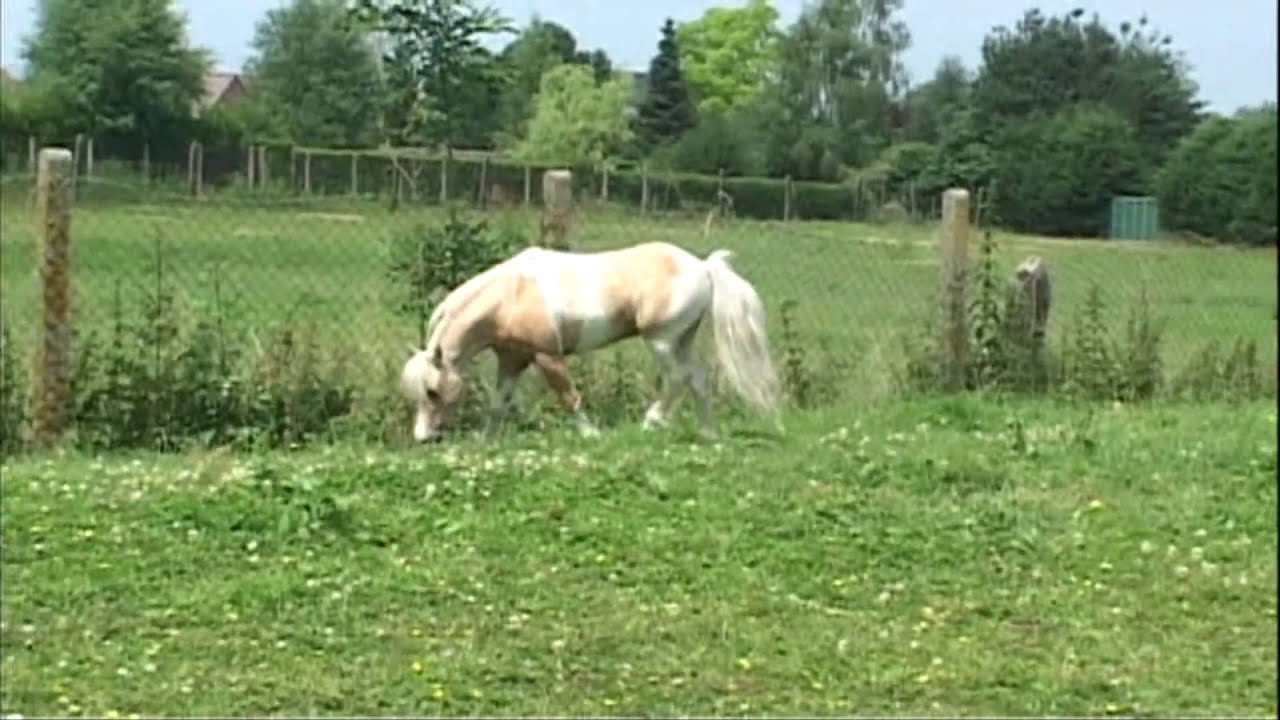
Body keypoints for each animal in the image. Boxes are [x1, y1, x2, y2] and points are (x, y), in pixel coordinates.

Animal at [399, 240, 781, 443]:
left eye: (432, 391)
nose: (424, 438)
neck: (511, 295)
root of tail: (703, 266)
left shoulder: (547, 356)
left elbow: (569, 397)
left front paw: (590, 435)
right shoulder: (513, 359)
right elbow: (499, 403)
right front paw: (487, 441)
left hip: (661, 341)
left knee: (677, 379)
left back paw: (650, 422)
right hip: (682, 341)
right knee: (698, 380)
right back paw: (708, 434)